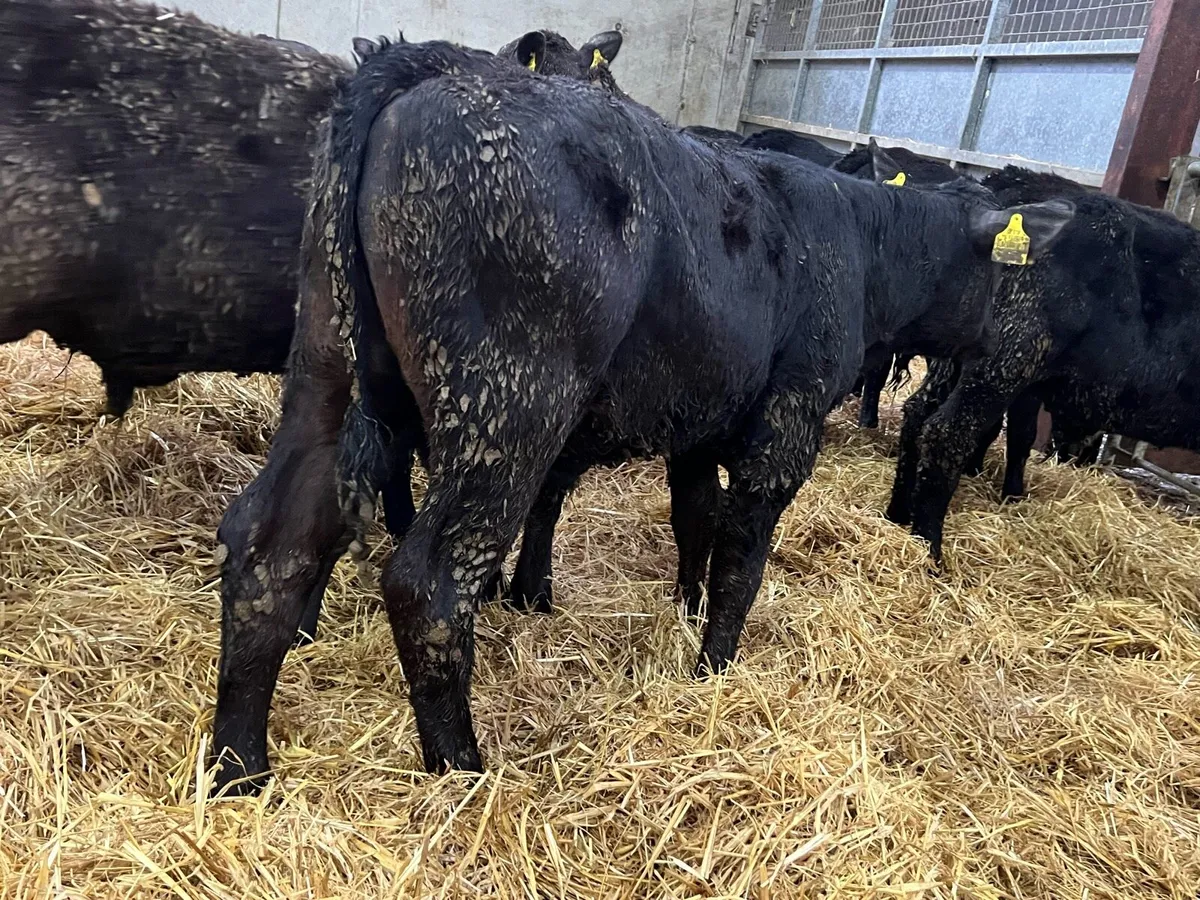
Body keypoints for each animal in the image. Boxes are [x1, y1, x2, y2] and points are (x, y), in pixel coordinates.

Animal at [210, 38, 1074, 790]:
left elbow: (696, 516)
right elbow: (743, 556)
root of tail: (429, 68)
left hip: (328, 368)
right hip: (507, 405)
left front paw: (685, 610)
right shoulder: (785, 426)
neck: (856, 246)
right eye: (1005, 274)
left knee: (272, 542)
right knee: (431, 582)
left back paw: (238, 769)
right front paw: (716, 666)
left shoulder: (700, 424)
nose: (1008, 338)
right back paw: (464, 776)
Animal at [886, 165, 1200, 561]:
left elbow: (1021, 436)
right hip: (1004, 362)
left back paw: (898, 516)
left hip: (962, 361)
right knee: (947, 434)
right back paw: (930, 551)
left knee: (917, 414)